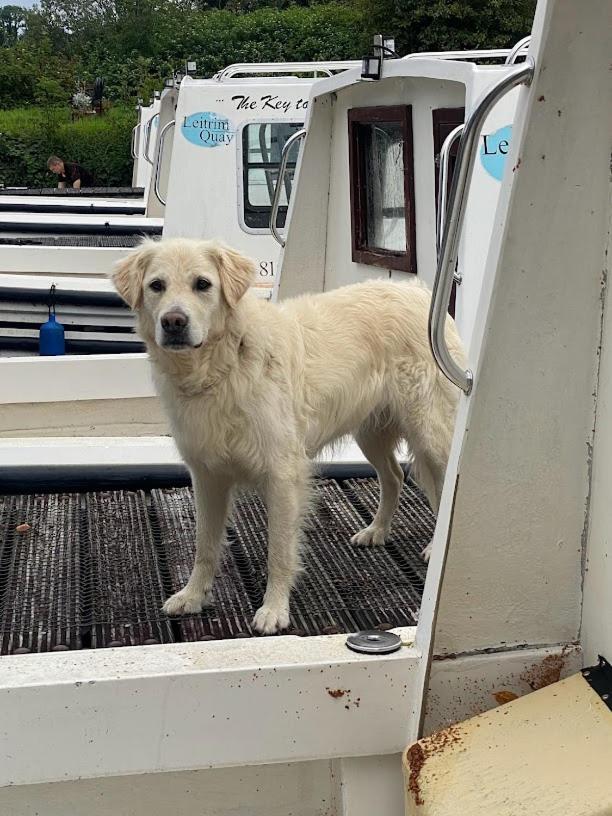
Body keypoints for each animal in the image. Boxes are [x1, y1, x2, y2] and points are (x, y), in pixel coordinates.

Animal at [111, 239, 464, 636]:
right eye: (156, 286)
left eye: (202, 284)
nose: (173, 322)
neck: (224, 363)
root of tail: (419, 291)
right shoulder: (207, 476)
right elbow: (204, 546)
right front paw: (192, 596)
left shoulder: (281, 474)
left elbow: (278, 551)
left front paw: (274, 610)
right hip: (370, 431)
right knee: (394, 475)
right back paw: (376, 530)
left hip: (433, 434)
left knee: (441, 484)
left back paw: (434, 547)